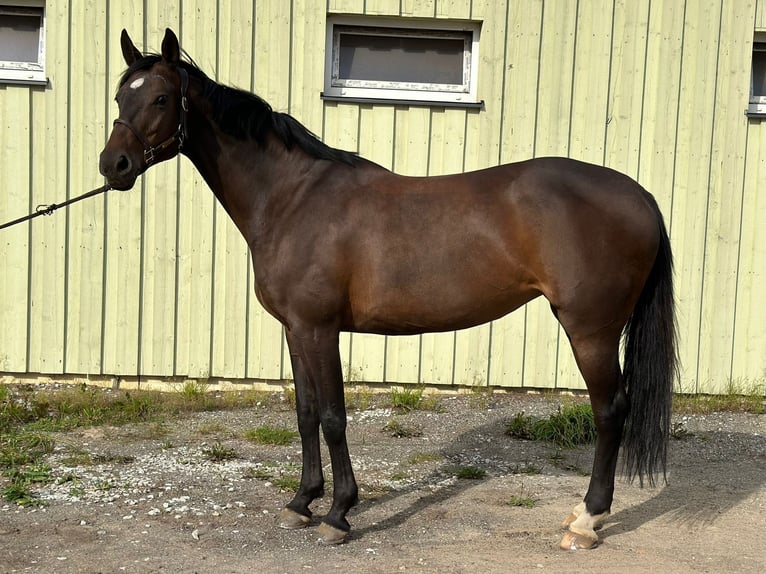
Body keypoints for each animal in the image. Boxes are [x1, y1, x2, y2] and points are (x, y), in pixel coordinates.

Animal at [100, 29, 680, 552]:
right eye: (120, 96)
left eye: (160, 98)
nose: (113, 166)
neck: (292, 199)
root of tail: (641, 194)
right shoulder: (295, 330)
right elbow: (305, 414)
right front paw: (301, 503)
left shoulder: (320, 329)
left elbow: (333, 418)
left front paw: (338, 513)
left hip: (591, 331)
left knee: (610, 411)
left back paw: (587, 521)